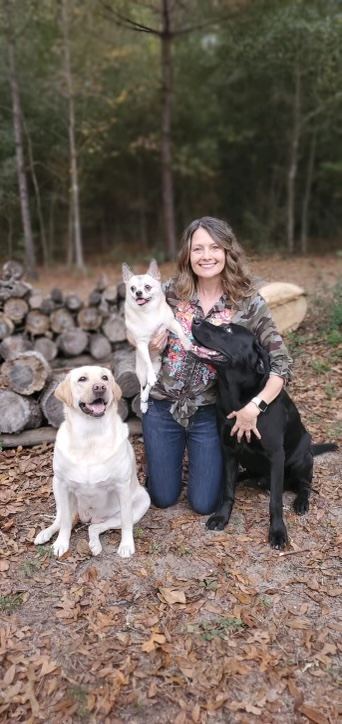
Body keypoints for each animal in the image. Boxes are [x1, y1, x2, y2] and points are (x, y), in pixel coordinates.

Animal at [34, 368, 150, 560]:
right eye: (82, 379)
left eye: (105, 378)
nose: (100, 387)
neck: (91, 436)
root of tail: (88, 517)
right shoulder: (63, 484)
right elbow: (65, 522)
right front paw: (61, 543)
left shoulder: (122, 487)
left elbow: (126, 522)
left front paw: (126, 545)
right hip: (56, 486)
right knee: (62, 518)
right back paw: (45, 533)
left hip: (142, 501)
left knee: (95, 527)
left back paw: (94, 544)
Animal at [122, 258, 192, 412]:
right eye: (132, 288)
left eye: (147, 287)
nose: (138, 293)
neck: (148, 312)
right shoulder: (142, 344)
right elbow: (147, 361)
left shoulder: (171, 323)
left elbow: (180, 331)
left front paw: (186, 343)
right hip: (141, 371)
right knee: (143, 384)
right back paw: (143, 403)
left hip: (158, 366)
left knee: (149, 385)